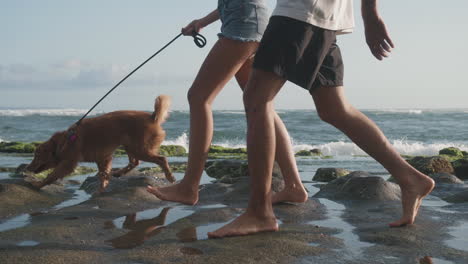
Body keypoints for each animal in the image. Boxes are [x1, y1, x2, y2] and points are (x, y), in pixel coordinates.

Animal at [26, 95, 176, 192]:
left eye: (36, 156)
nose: (27, 168)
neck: (63, 142)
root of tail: (152, 116)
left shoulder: (68, 163)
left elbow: (51, 175)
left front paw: (38, 184)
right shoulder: (103, 158)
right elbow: (103, 174)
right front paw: (102, 187)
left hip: (140, 148)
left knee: (161, 159)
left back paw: (170, 177)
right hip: (130, 146)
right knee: (135, 162)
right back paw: (119, 173)